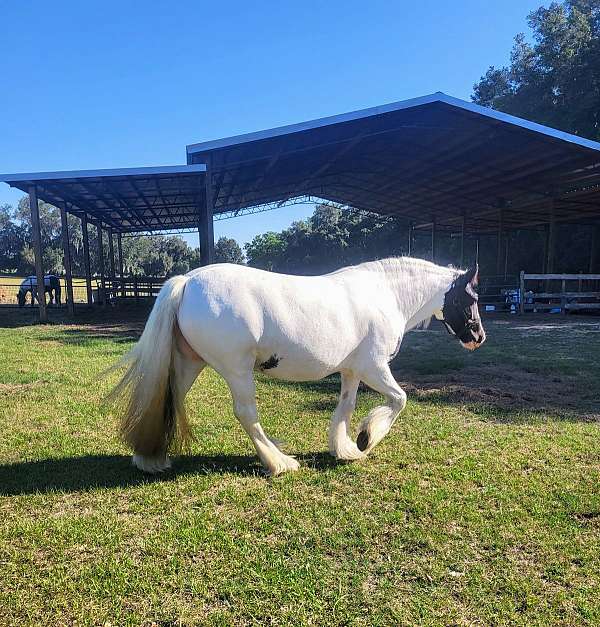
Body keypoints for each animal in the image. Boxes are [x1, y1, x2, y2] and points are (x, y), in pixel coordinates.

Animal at [110, 258, 486, 474]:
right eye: (470, 298)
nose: (478, 337)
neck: (384, 294)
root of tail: (187, 281)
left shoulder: (351, 371)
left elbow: (345, 408)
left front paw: (346, 449)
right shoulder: (374, 368)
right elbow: (399, 400)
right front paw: (366, 439)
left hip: (191, 363)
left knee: (168, 399)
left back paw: (150, 458)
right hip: (237, 370)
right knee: (246, 413)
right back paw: (279, 462)